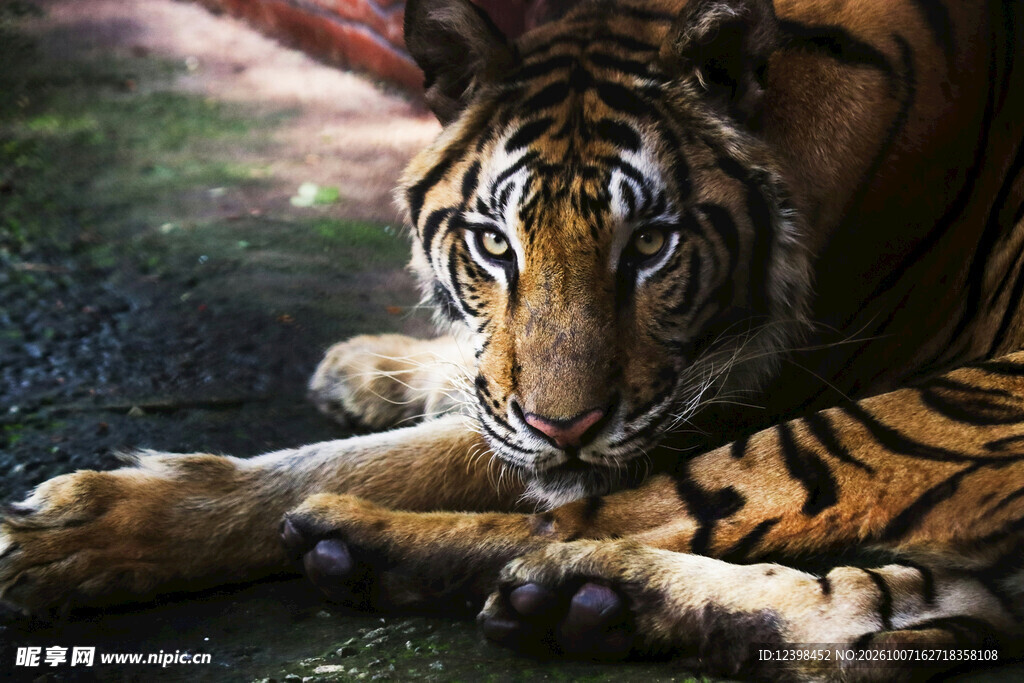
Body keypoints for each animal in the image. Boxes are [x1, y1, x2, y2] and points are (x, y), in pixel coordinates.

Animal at [2, 0, 1023, 680]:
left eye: (649, 246)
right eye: (495, 243)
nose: (563, 427)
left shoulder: (718, 394)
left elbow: (393, 459)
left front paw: (76, 531)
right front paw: (369, 363)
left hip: (936, 405)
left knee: (583, 518)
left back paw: (368, 545)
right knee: (901, 606)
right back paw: (591, 602)